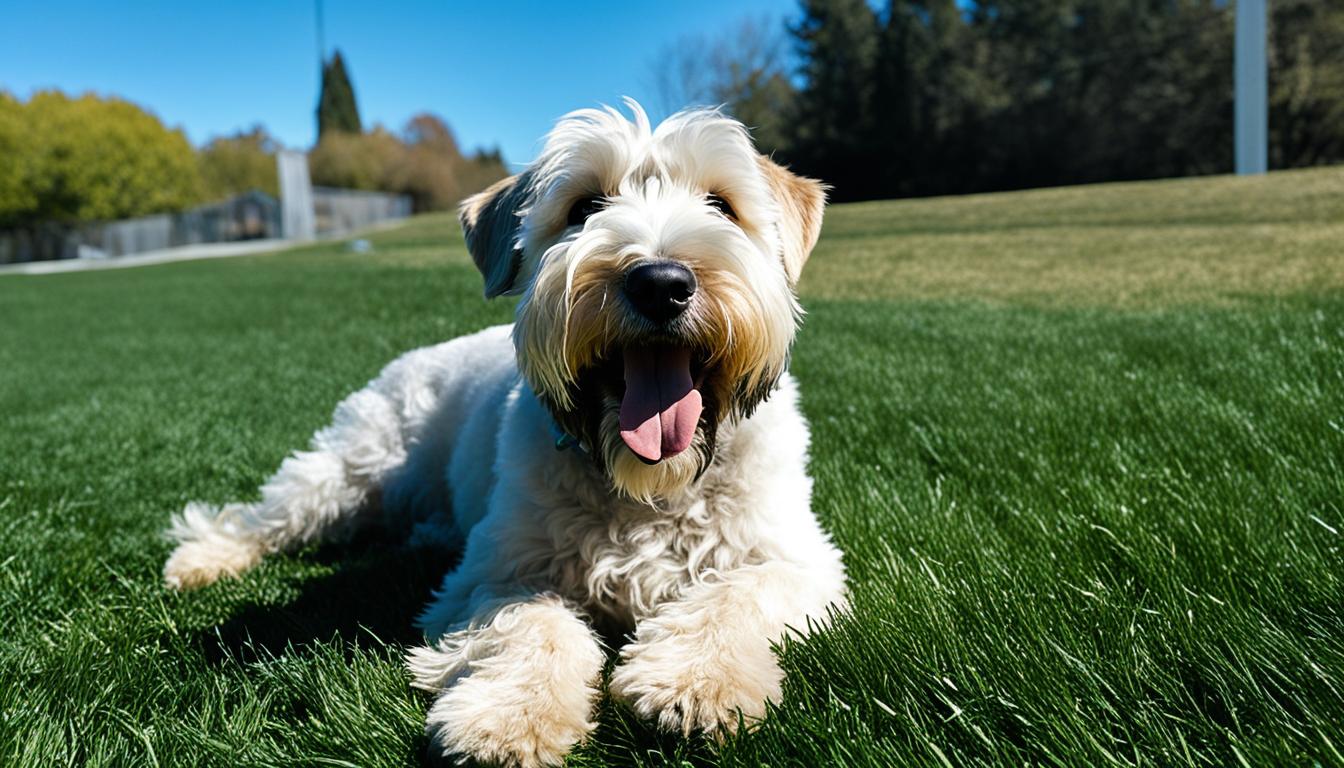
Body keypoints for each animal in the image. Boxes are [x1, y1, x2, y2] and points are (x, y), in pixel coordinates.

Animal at [162, 102, 844, 768]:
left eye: (722, 205)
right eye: (583, 208)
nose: (660, 282)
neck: (646, 487)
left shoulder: (798, 558)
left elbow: (735, 594)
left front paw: (694, 683)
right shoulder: (496, 572)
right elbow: (536, 624)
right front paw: (511, 718)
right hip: (349, 470)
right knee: (266, 516)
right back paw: (202, 558)